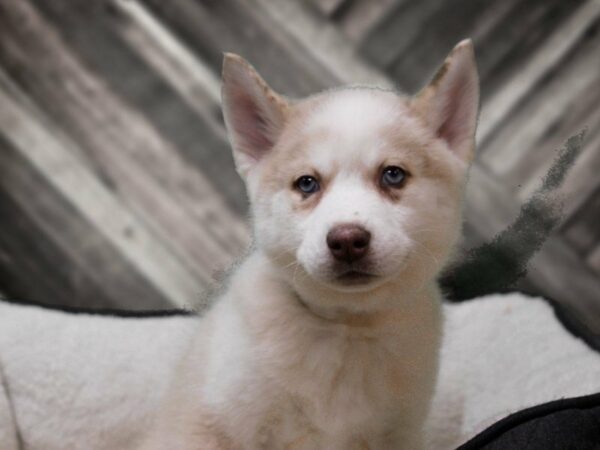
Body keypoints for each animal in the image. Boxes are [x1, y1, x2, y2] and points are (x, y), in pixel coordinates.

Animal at [139, 39, 478, 450]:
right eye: (307, 183)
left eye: (393, 175)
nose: (347, 240)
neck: (347, 329)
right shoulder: (213, 425)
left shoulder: (400, 435)